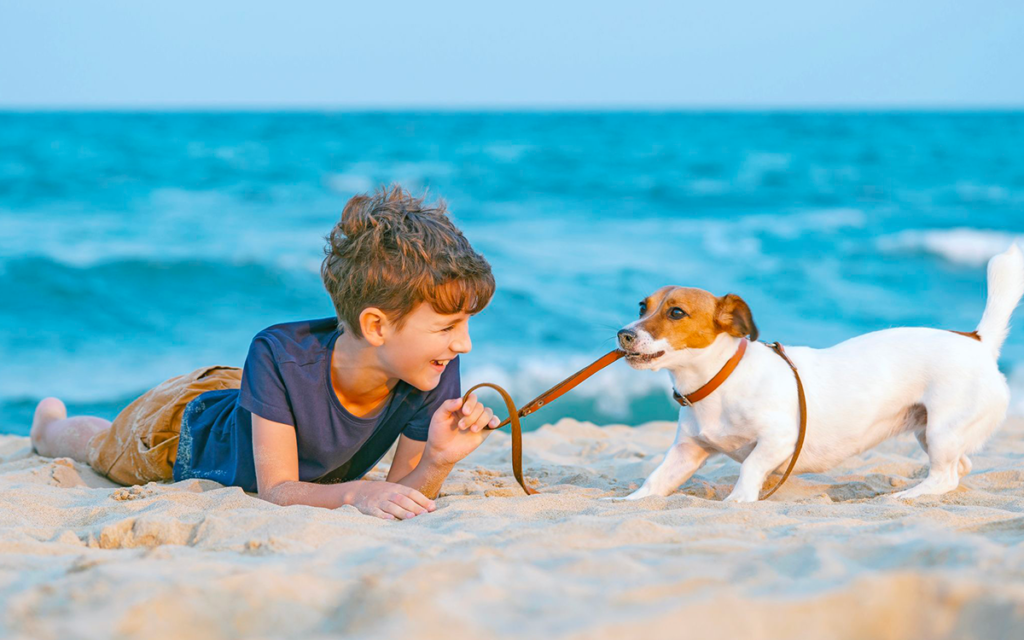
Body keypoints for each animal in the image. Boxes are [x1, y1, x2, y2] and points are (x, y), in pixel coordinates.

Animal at [614, 243, 1024, 499]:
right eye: (642, 306)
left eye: (676, 312)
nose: (624, 334)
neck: (720, 379)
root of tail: (978, 341)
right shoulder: (686, 452)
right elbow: (655, 481)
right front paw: (628, 501)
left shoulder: (779, 440)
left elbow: (750, 468)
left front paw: (738, 501)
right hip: (931, 431)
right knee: (961, 466)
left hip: (942, 431)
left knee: (944, 476)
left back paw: (909, 495)